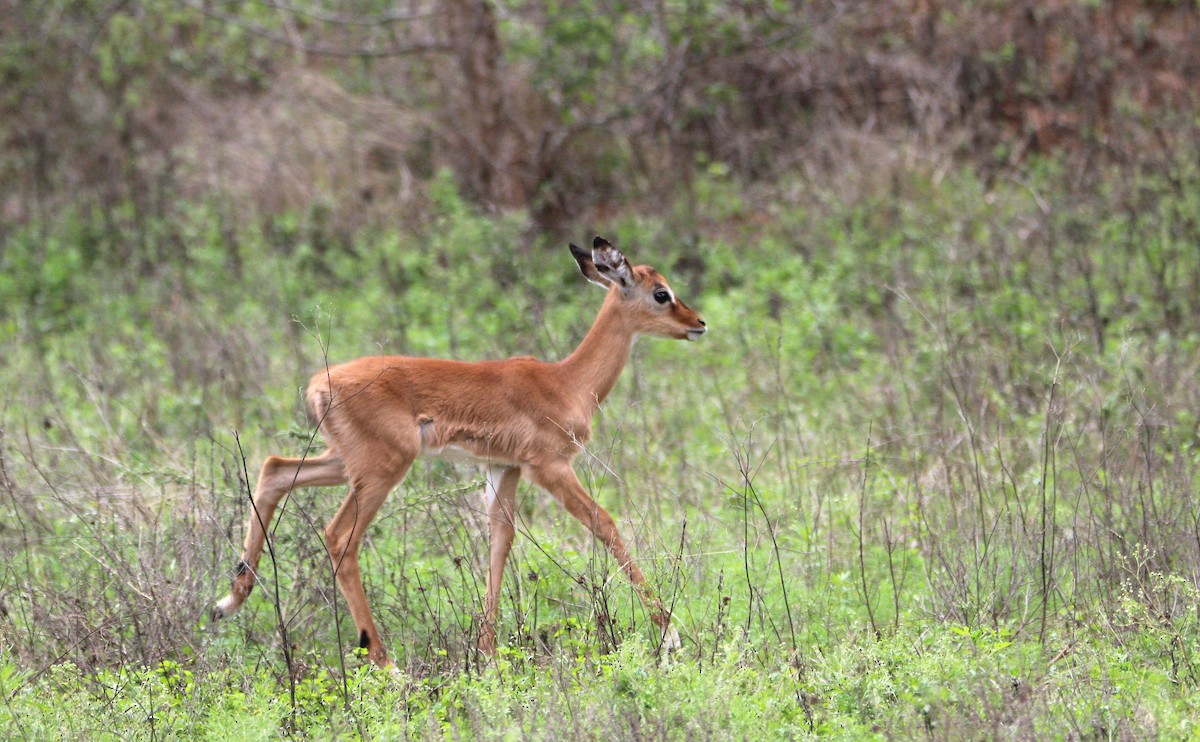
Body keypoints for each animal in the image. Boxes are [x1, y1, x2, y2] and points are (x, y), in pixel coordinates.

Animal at [214, 236, 706, 666]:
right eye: (662, 293)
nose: (699, 323)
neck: (566, 383)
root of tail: (318, 384)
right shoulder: (549, 467)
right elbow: (604, 523)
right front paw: (670, 634)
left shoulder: (504, 468)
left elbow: (500, 542)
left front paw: (486, 652)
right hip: (381, 470)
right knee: (338, 539)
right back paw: (386, 664)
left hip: (343, 462)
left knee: (273, 469)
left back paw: (229, 600)